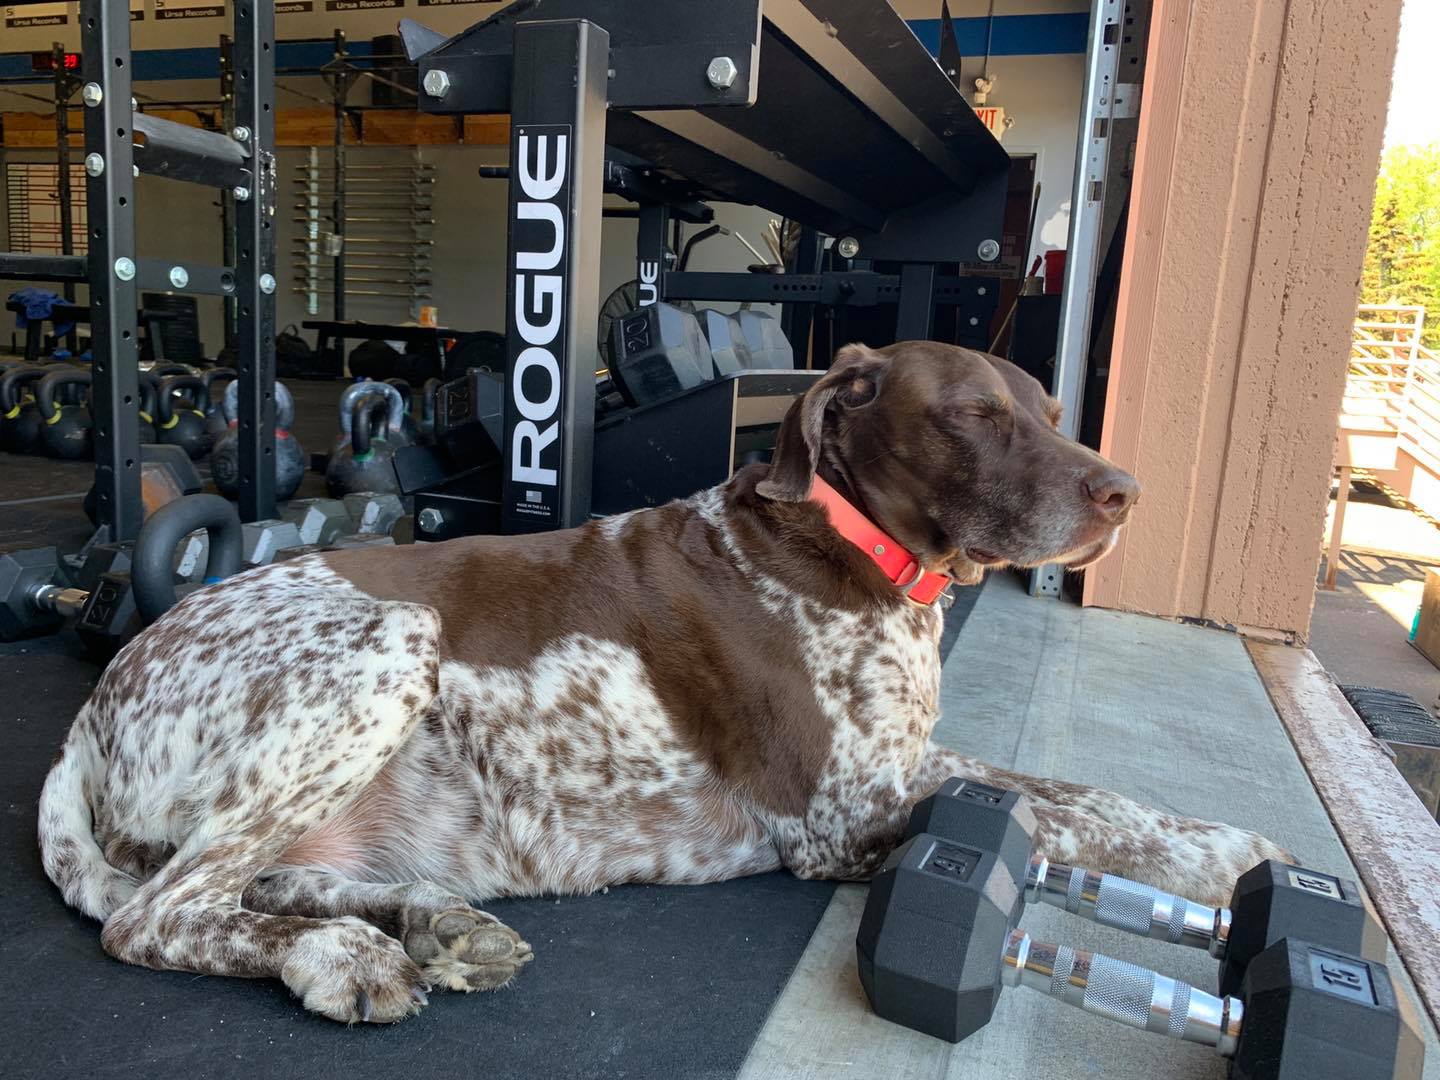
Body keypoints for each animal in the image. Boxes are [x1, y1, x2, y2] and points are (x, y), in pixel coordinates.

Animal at [39, 341, 1287, 1023]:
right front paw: (1228, 856)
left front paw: (1225, 850)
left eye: (1051, 412)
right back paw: (341, 955)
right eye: (973, 415)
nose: (1125, 493)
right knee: (156, 916)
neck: (846, 551)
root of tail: (87, 719)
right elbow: (1061, 809)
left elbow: (1069, 796)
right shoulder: (847, 815)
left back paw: (428, 923)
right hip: (393, 639)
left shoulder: (897, 775)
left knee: (264, 884)